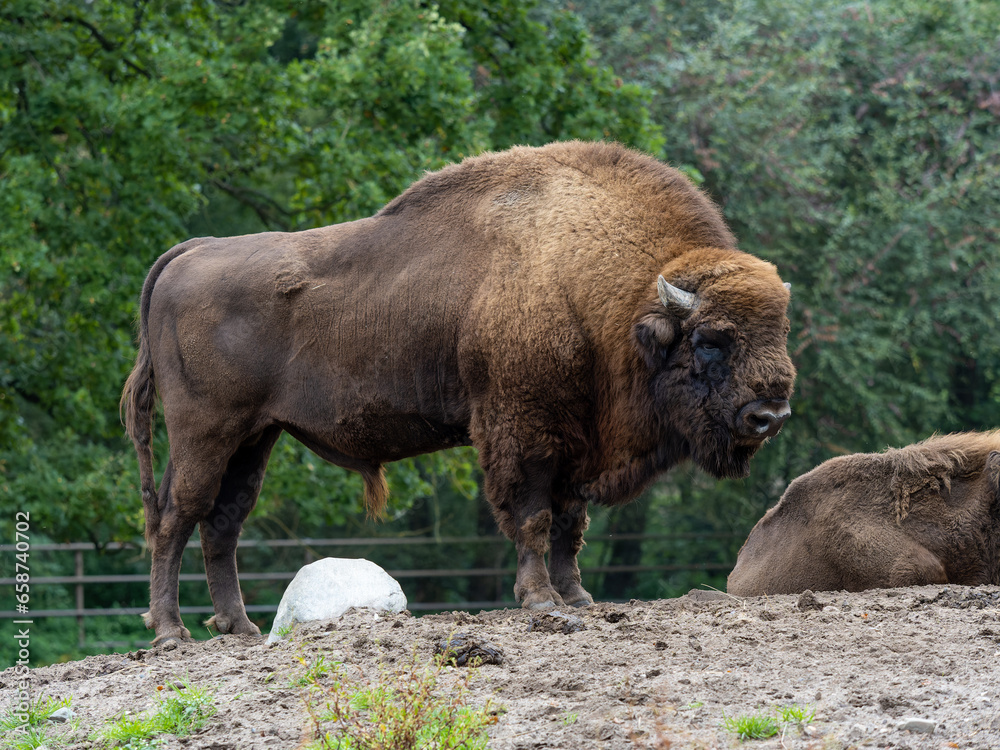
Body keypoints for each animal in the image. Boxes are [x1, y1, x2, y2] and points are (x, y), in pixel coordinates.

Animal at [123, 141, 796, 648]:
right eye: (710, 340)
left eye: (782, 331)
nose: (770, 415)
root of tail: (194, 251)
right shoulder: (523, 430)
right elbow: (532, 515)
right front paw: (541, 601)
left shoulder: (576, 442)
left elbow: (570, 523)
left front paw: (578, 595)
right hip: (205, 430)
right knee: (177, 515)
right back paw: (171, 633)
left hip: (254, 437)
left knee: (223, 523)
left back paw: (236, 627)